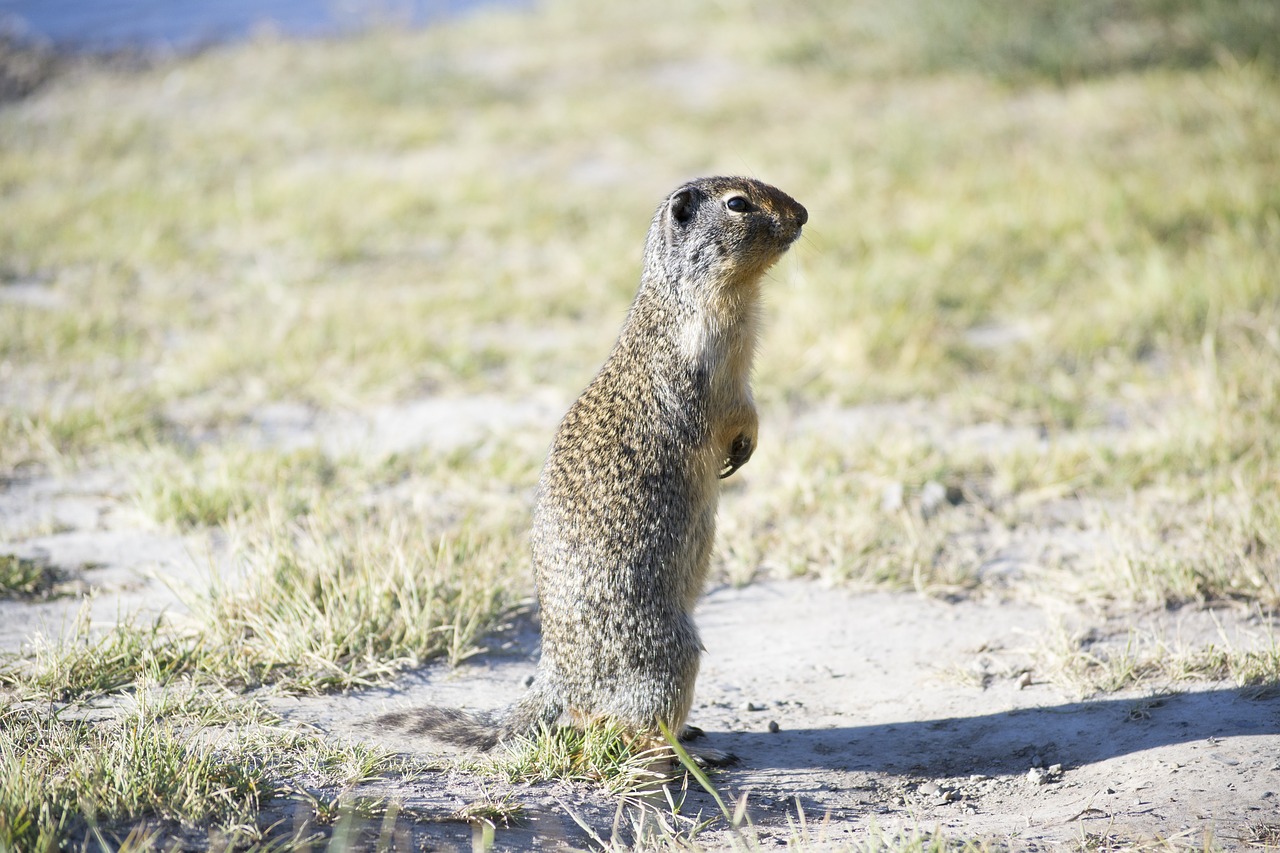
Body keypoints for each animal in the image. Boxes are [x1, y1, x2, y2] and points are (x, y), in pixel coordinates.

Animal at [378, 175, 803, 747]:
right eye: (737, 203)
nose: (803, 214)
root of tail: (555, 680)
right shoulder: (711, 366)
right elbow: (734, 411)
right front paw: (742, 448)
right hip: (670, 653)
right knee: (623, 726)